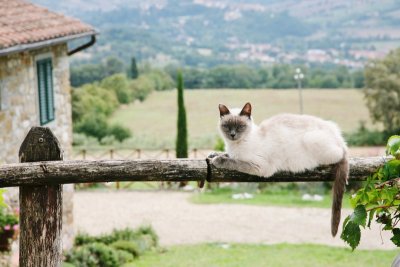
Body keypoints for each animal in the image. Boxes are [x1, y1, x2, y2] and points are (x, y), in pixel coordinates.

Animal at [208, 102, 348, 237]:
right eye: (227, 126)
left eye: (240, 127)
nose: (232, 135)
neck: (235, 146)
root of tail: (339, 137)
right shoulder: (232, 153)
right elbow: (225, 154)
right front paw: (212, 155)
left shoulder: (259, 166)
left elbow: (234, 161)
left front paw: (217, 160)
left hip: (312, 140)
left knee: (341, 154)